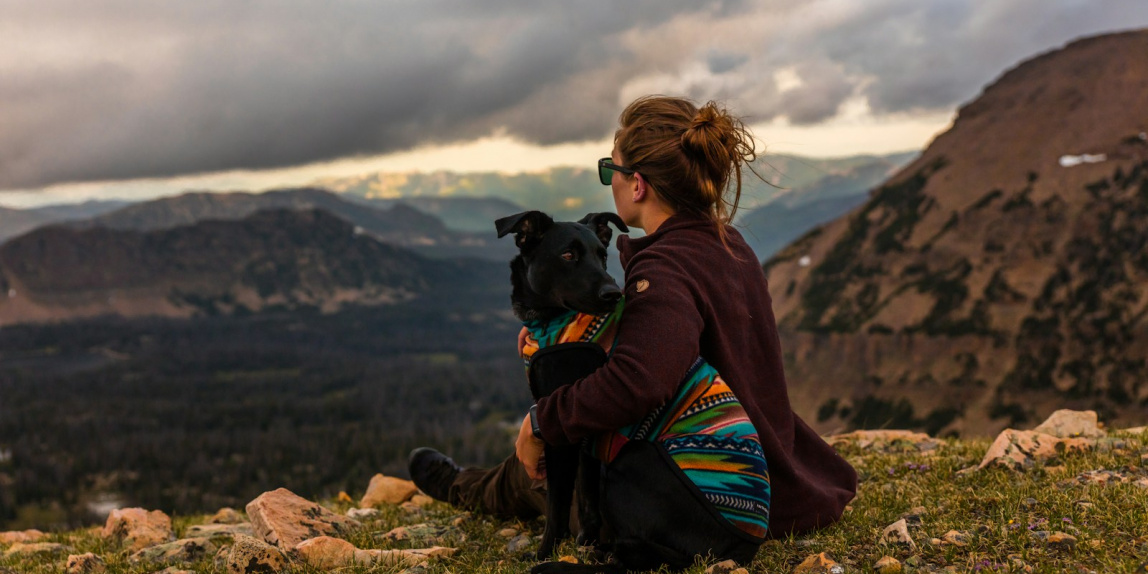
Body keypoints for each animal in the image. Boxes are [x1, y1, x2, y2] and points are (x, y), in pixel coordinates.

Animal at [493, 208, 629, 562]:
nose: (614, 294)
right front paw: (587, 542)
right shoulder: (586, 433)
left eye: (602, 255)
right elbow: (587, 497)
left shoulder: (560, 426)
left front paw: (545, 552)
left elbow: (558, 502)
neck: (552, 322)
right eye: (568, 255)